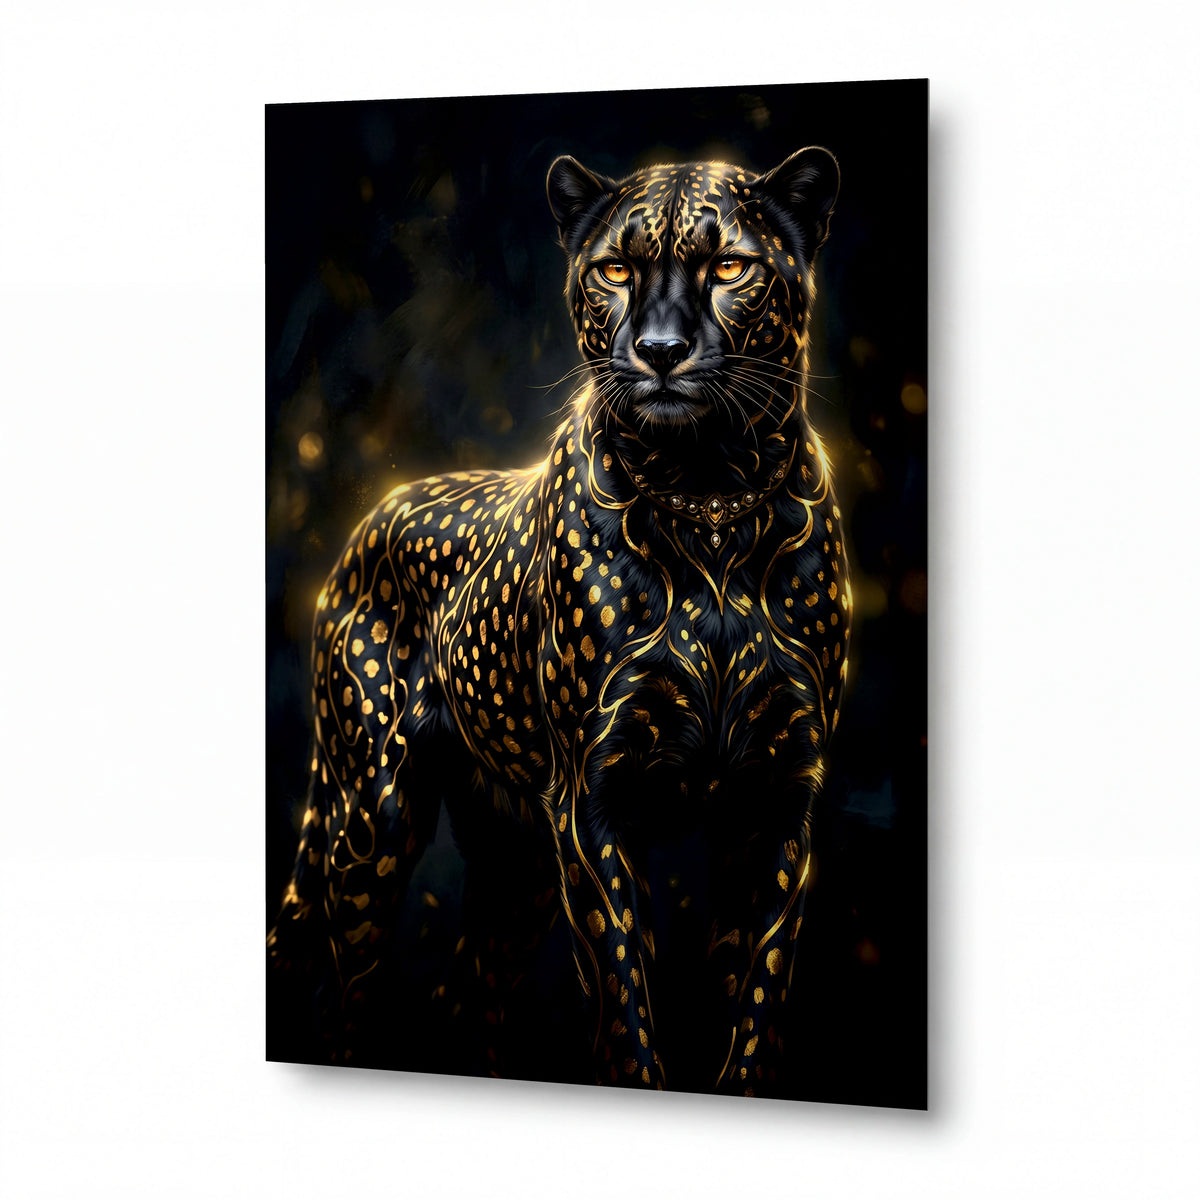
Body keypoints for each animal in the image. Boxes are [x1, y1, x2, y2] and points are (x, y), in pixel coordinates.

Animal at [269, 145, 850, 1098]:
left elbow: (754, 1011)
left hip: (516, 858)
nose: (660, 352)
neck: (710, 498)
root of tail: (375, 513)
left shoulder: (774, 803)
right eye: (615, 270)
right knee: (344, 997)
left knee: (467, 992)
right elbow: (625, 1011)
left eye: (730, 267)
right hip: (374, 814)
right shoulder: (593, 802)